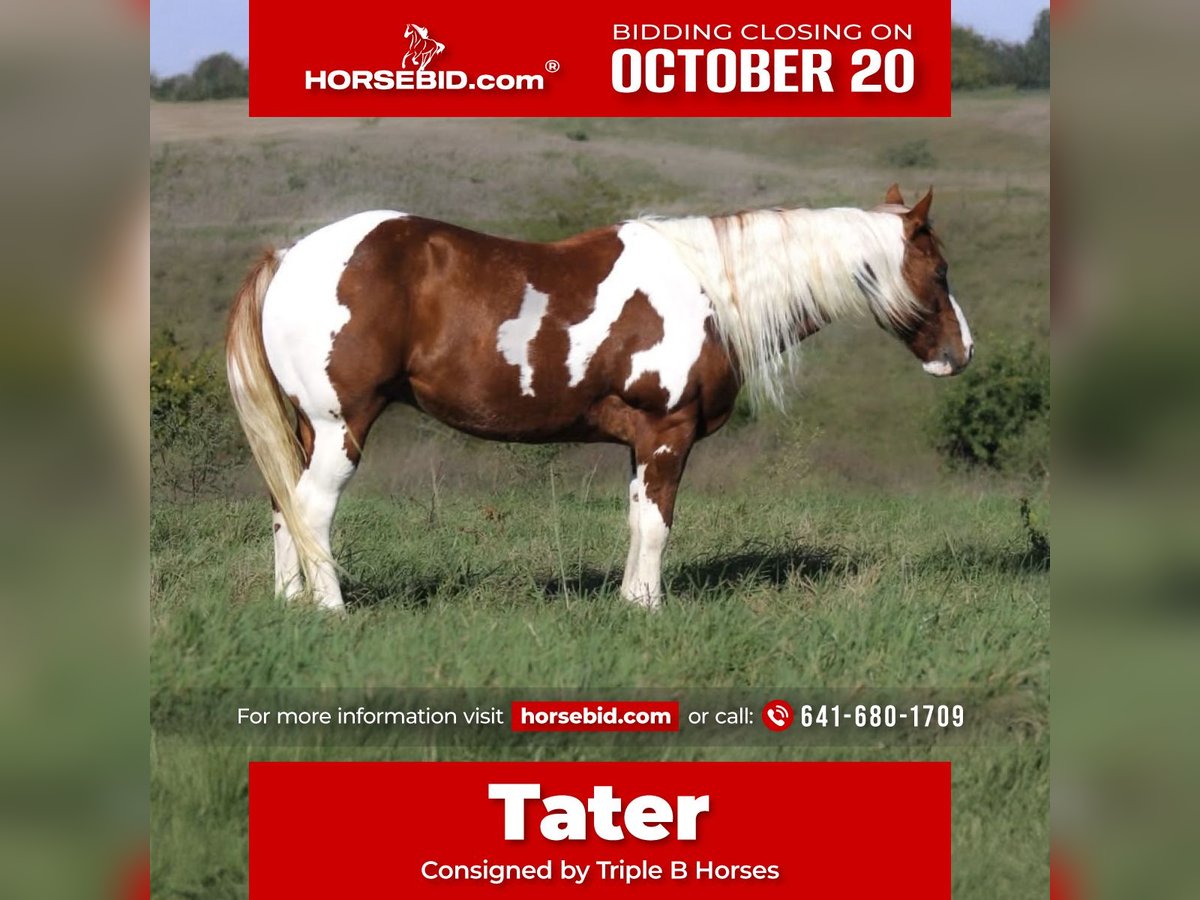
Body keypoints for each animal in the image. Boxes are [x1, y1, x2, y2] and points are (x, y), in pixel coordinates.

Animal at [226, 184, 973, 611]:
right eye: (938, 270)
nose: (960, 353)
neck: (709, 289)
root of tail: (290, 255)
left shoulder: (641, 441)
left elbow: (638, 521)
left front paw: (631, 602)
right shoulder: (668, 432)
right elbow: (658, 525)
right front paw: (648, 608)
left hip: (306, 430)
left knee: (284, 506)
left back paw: (289, 605)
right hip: (340, 425)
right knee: (312, 511)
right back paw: (330, 611)